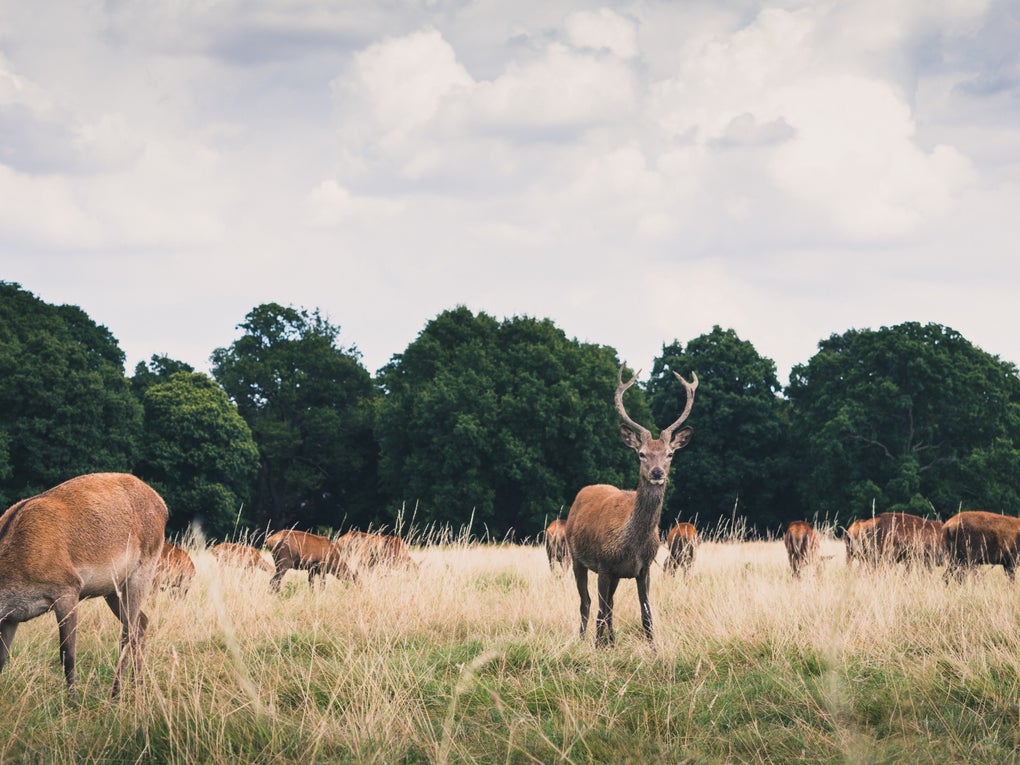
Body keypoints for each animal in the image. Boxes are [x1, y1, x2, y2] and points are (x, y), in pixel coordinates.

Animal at [0, 472, 167, 698]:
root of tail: (162, 504)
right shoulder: (12, 616)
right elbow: (3, 658)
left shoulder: (68, 590)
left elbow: (67, 654)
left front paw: (74, 701)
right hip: (113, 589)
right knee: (142, 622)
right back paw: (137, 687)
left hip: (143, 571)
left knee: (128, 634)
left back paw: (116, 695)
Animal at [565, 365, 697, 646]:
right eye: (641, 454)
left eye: (670, 454)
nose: (657, 472)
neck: (631, 545)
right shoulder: (604, 566)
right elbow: (600, 610)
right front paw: (596, 648)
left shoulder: (643, 569)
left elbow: (646, 614)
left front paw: (653, 648)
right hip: (576, 557)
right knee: (587, 603)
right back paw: (583, 640)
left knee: (610, 605)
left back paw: (612, 641)